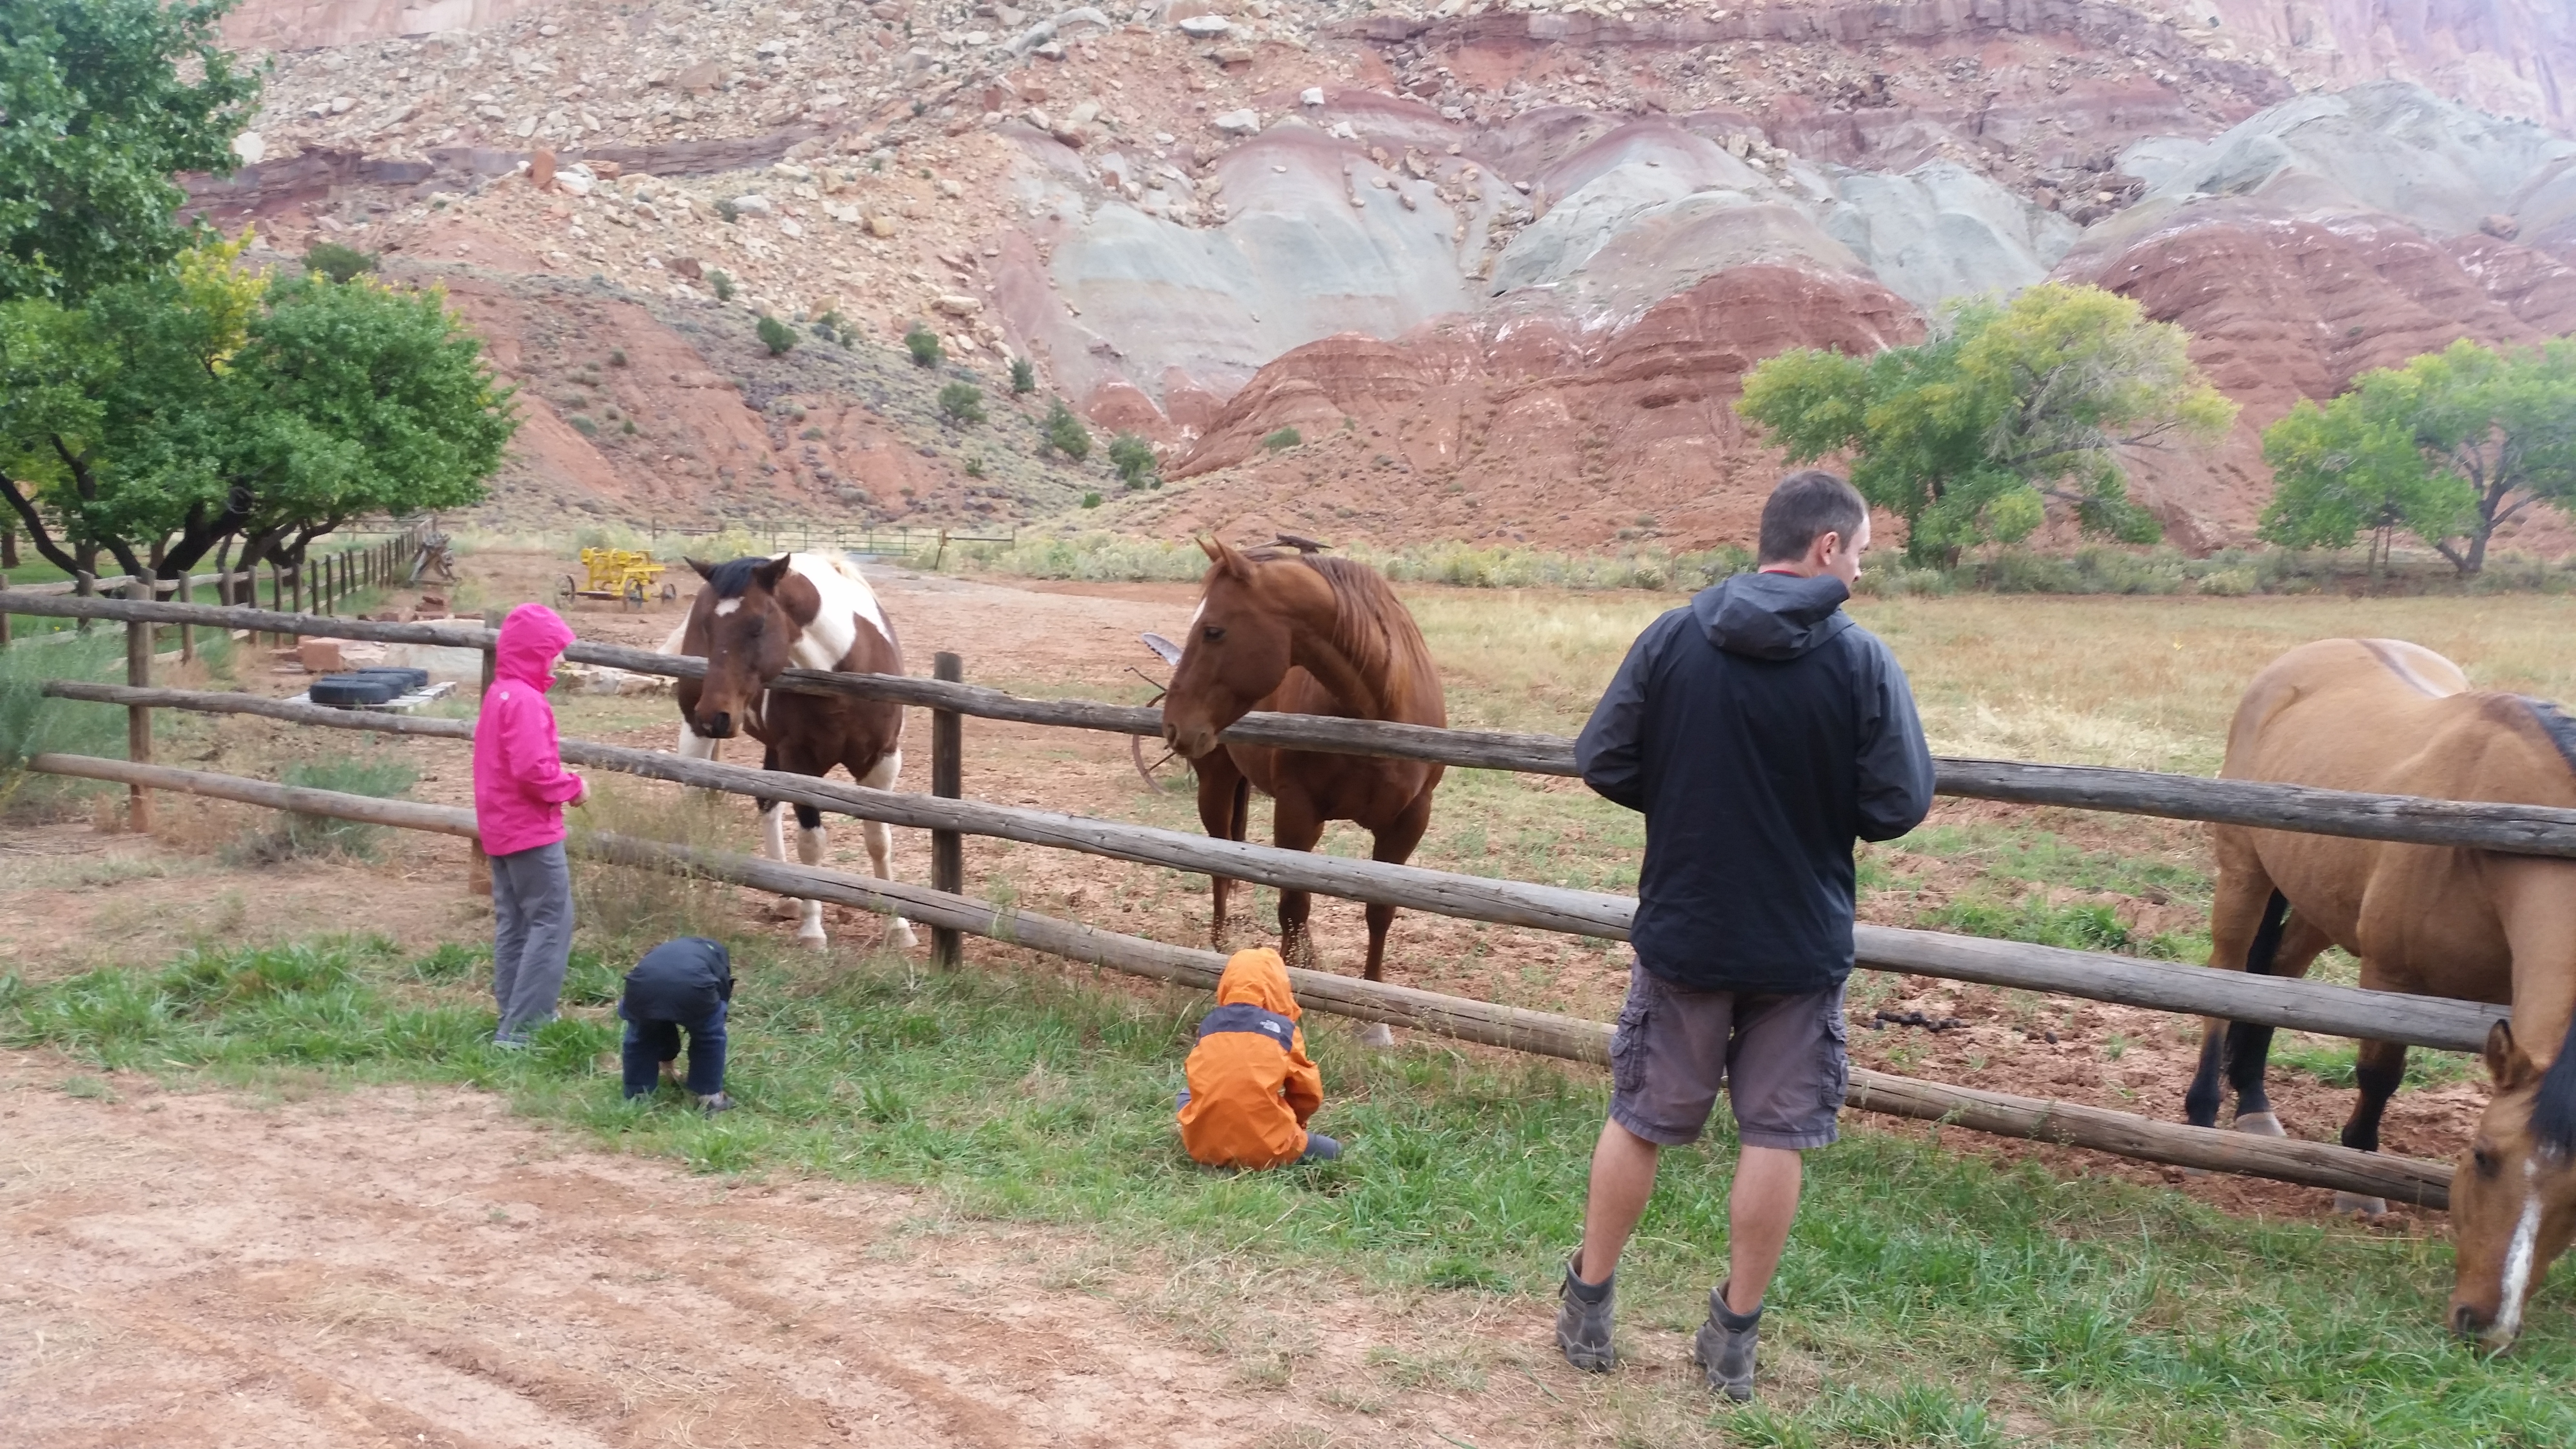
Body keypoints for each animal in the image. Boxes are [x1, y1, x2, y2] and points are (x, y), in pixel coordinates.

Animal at [664, 549, 917, 949]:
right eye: (708, 627)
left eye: (756, 625)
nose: (714, 716)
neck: (845, 670)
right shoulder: (801, 764)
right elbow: (812, 844)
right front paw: (813, 931)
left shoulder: (882, 762)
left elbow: (880, 841)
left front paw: (898, 926)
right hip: (696, 734)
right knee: (693, 800)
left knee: (767, 804)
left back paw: (787, 898)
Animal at [1164, 536, 1452, 1011]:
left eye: (1213, 630)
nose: (1173, 726)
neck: (1376, 709)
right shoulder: (1296, 812)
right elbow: (1294, 903)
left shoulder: (1410, 821)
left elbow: (1380, 910)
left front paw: (1372, 1003)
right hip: (1216, 785)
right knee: (1219, 864)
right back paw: (1220, 944)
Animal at [2184, 637, 2576, 1351]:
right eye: (2482, 1157)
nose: (2484, 1324)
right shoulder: (2391, 979)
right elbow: (2378, 1075)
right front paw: (2358, 1185)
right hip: (2244, 873)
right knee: (2227, 978)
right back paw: (2202, 1114)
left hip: (2316, 899)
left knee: (2277, 977)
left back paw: (2254, 1106)